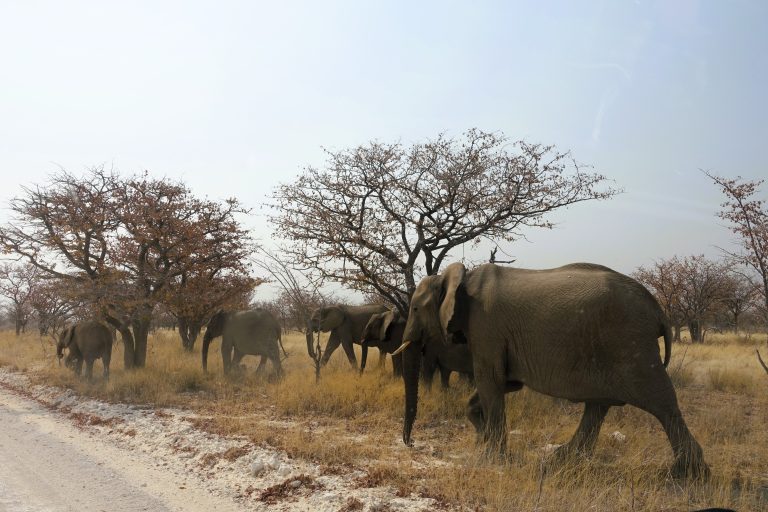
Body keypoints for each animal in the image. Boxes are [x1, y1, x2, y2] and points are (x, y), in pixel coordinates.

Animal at [395, 262, 709, 479]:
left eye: (414, 309)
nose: (411, 443)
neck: (459, 276)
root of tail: (658, 311)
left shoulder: (485, 327)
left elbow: (490, 381)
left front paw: (491, 458)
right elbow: (504, 383)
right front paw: (482, 439)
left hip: (632, 345)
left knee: (661, 403)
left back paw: (689, 473)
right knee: (598, 406)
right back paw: (561, 461)